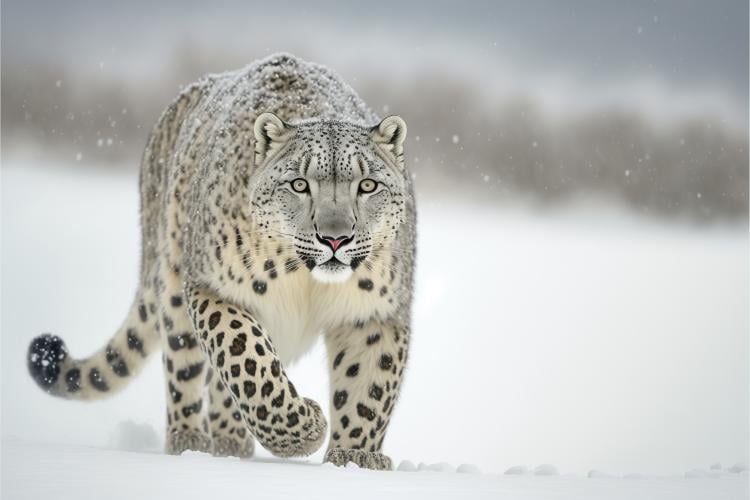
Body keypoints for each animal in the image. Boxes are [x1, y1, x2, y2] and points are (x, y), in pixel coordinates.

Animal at [26, 53, 415, 471]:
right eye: (299, 184)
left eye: (368, 185)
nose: (335, 237)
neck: (305, 282)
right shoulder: (216, 288)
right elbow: (245, 356)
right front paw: (305, 429)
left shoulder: (374, 311)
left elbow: (367, 385)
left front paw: (354, 457)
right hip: (174, 284)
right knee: (186, 365)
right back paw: (196, 440)